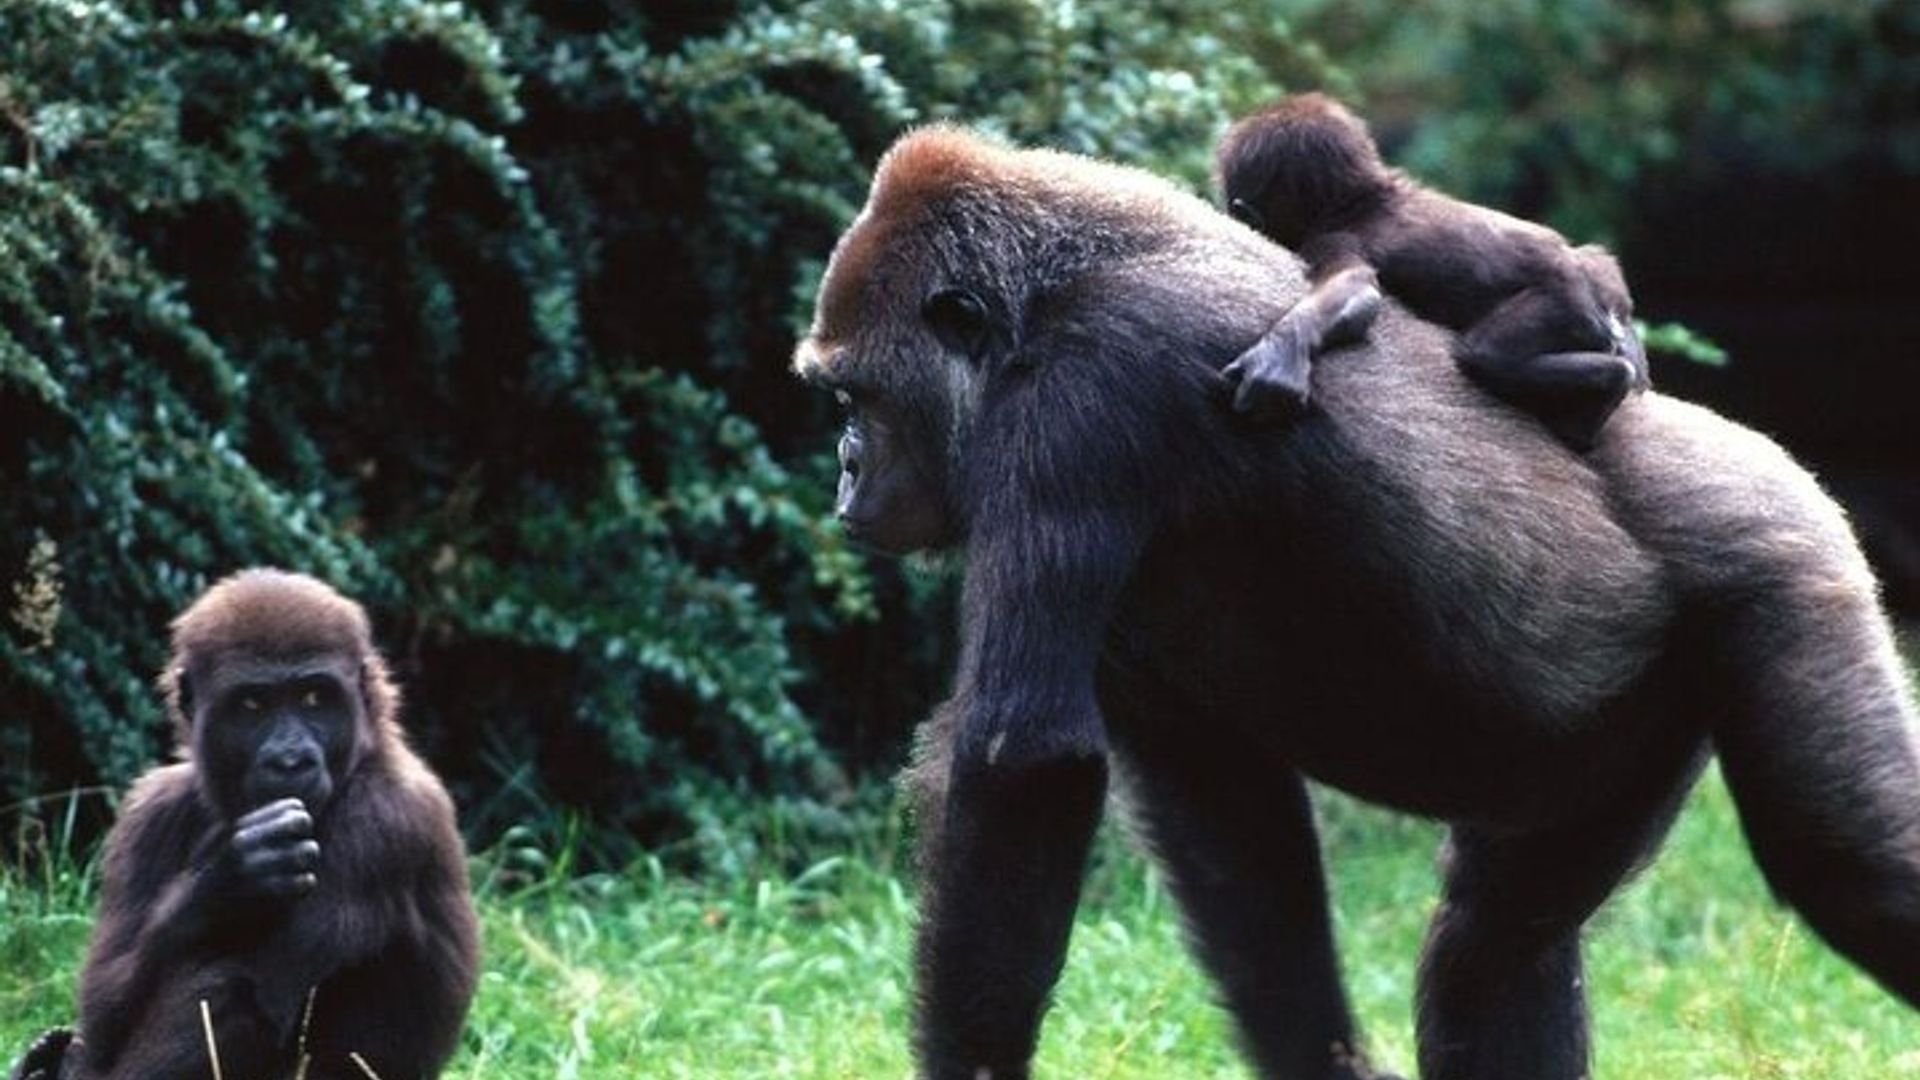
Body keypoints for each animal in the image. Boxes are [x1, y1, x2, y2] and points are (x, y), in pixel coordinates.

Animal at [13, 569, 479, 1080]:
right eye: (253, 705)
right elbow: (106, 1006)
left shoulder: (384, 818)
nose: (291, 760)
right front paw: (226, 879)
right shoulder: (149, 811)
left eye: (314, 698)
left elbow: (258, 992)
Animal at [1216, 93, 1649, 450]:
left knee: (1485, 355)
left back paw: (1608, 387)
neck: (1362, 199)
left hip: (1565, 303)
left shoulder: (1331, 239)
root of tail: (1606, 300)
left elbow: (1354, 290)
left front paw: (1280, 353)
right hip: (1596, 279)